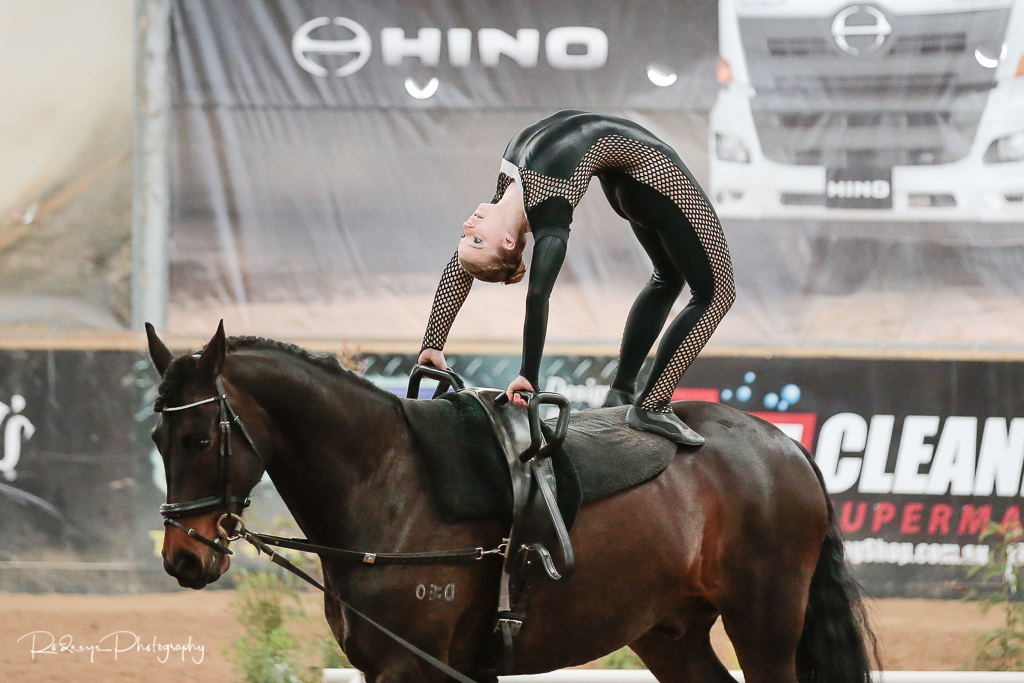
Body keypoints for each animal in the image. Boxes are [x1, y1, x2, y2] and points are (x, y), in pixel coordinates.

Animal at [146, 325, 880, 683]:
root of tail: (783, 447)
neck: (387, 484)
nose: (183, 557)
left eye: (200, 436)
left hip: (765, 626)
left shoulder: (412, 669)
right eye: (156, 437)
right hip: (669, 634)